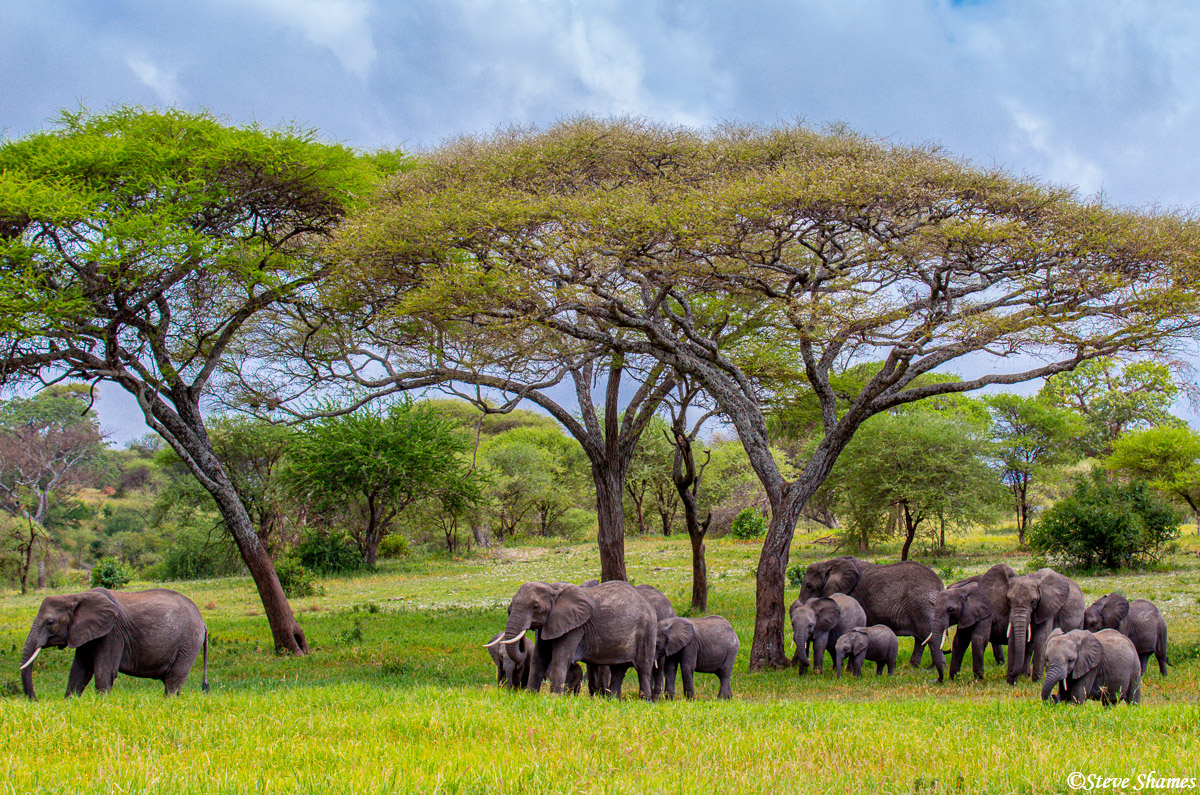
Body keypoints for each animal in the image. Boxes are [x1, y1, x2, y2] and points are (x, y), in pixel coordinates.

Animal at [19, 587, 208, 700]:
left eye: (50, 622)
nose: (36, 701)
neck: (76, 596)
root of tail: (203, 622)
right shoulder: (85, 633)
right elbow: (79, 671)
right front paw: (70, 702)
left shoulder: (112, 633)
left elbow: (104, 672)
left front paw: (102, 704)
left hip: (188, 643)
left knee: (174, 679)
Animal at [485, 580, 658, 699]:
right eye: (510, 607)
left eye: (535, 607)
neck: (552, 588)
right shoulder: (549, 624)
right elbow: (539, 658)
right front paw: (530, 695)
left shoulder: (574, 627)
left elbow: (561, 658)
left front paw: (554, 699)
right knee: (619, 669)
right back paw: (614, 701)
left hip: (647, 632)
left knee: (643, 667)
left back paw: (644, 701)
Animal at [798, 556, 945, 679]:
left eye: (809, 586)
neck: (828, 564)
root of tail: (940, 586)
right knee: (921, 639)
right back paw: (915, 666)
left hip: (922, 607)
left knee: (929, 637)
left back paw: (932, 668)